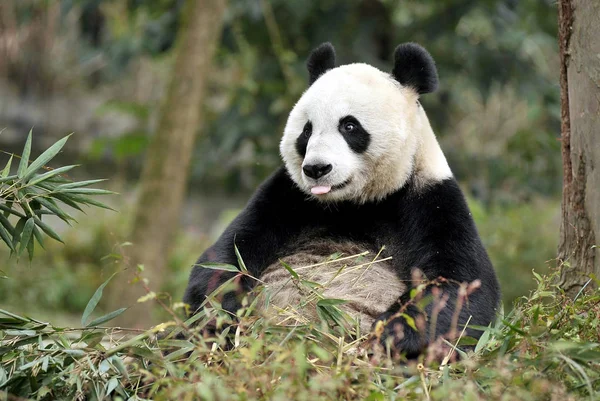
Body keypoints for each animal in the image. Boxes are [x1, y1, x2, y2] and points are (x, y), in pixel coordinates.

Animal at [184, 43, 502, 356]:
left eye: (349, 126)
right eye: (307, 130)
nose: (316, 169)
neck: (354, 204)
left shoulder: (429, 200)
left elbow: (461, 285)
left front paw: (390, 335)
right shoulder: (287, 198)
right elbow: (226, 257)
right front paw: (218, 314)